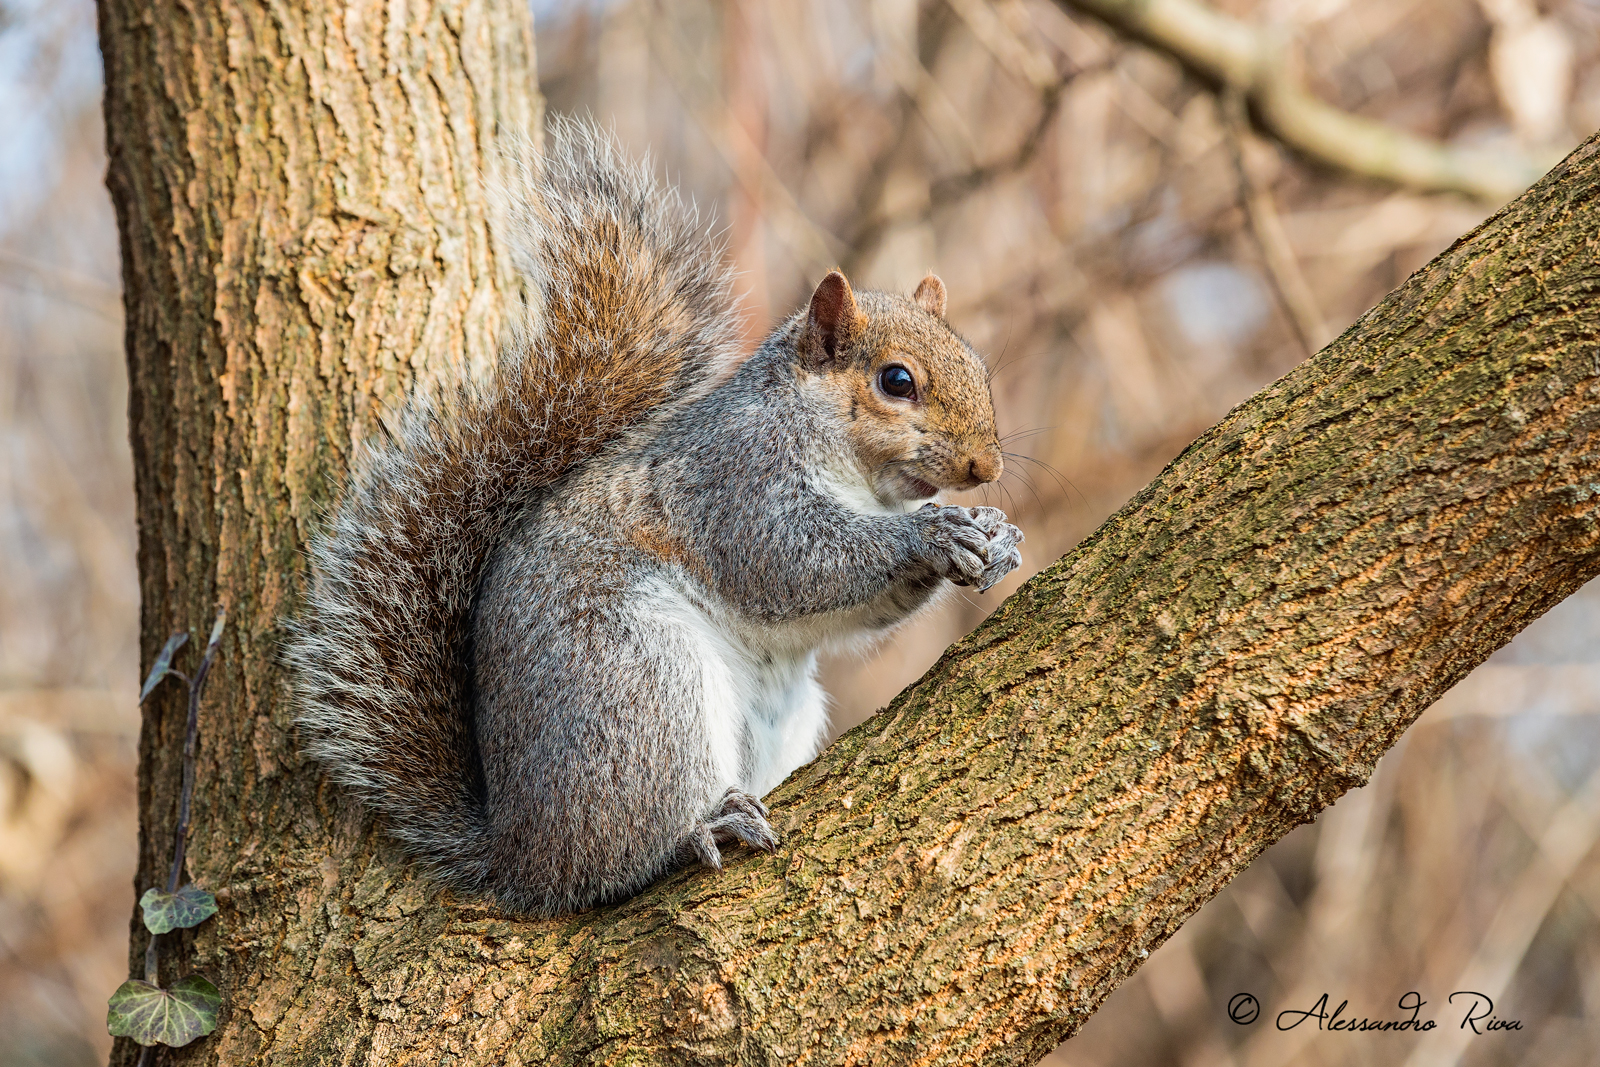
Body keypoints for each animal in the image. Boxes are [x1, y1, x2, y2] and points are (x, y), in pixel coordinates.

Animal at [289, 118, 1023, 917]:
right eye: (897, 381)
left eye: (979, 366)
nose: (987, 468)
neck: (856, 474)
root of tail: (521, 855)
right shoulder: (733, 484)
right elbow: (797, 563)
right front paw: (933, 533)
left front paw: (996, 538)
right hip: (638, 689)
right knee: (620, 855)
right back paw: (700, 828)